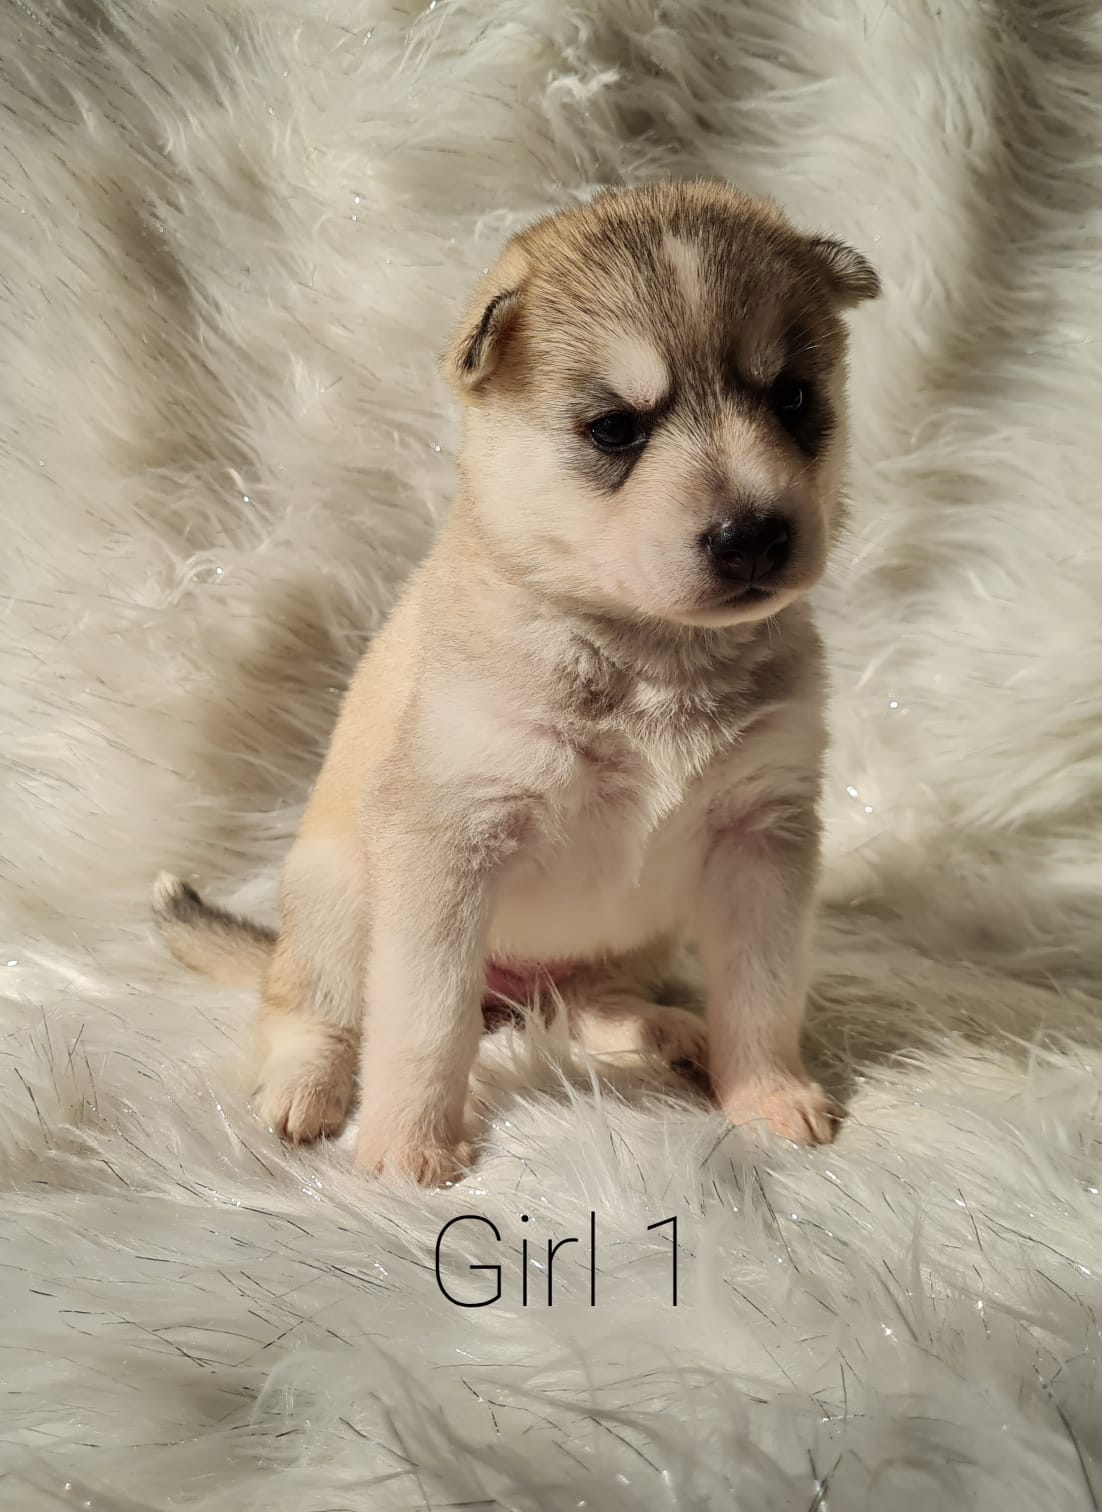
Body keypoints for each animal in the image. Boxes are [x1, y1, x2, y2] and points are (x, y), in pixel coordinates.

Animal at [155, 179, 878, 1186]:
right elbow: (422, 1021)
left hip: (632, 939)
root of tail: (517, 994)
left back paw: (657, 1029)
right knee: (314, 1009)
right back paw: (307, 1086)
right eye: (615, 428)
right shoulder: (451, 842)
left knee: (582, 1005)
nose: (753, 536)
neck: (652, 655)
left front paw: (768, 1095)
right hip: (336, 894)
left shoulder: (761, 834)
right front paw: (407, 1147)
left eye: (795, 397)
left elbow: (764, 990)